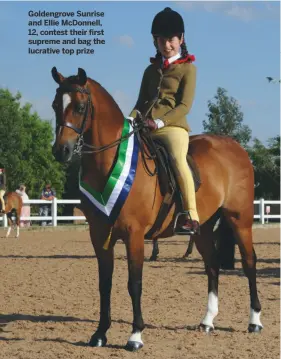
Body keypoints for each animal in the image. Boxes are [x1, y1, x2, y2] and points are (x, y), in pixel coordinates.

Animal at [50, 67, 262, 352]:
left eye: (81, 107)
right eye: (55, 106)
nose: (61, 151)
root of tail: (236, 147)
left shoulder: (134, 235)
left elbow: (134, 283)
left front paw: (135, 335)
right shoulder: (100, 236)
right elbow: (104, 283)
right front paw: (100, 334)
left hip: (240, 220)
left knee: (249, 262)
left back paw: (254, 321)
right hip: (203, 228)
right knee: (212, 265)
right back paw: (207, 321)